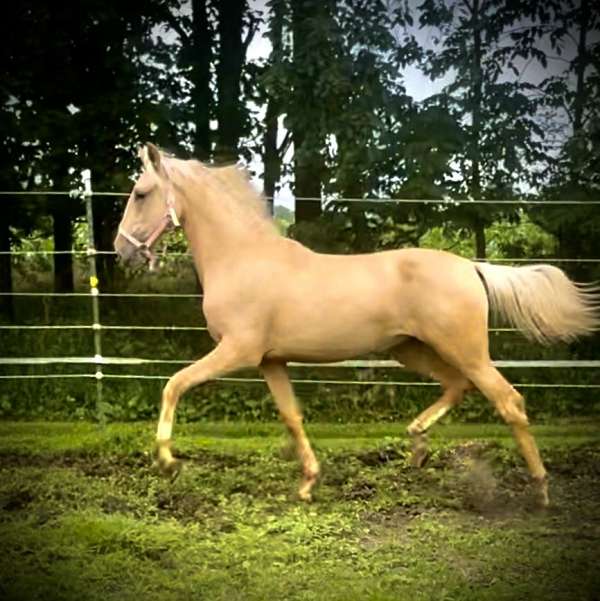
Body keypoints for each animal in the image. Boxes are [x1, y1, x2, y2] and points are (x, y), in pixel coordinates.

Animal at [113, 143, 600, 504]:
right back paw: (417, 445)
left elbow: (174, 384)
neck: (243, 258)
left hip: (466, 351)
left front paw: (168, 462)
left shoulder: (237, 350)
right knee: (456, 386)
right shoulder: (271, 362)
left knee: (509, 402)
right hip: (410, 349)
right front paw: (308, 483)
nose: (121, 250)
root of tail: (470, 266)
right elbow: (291, 415)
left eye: (140, 193)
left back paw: (540, 490)